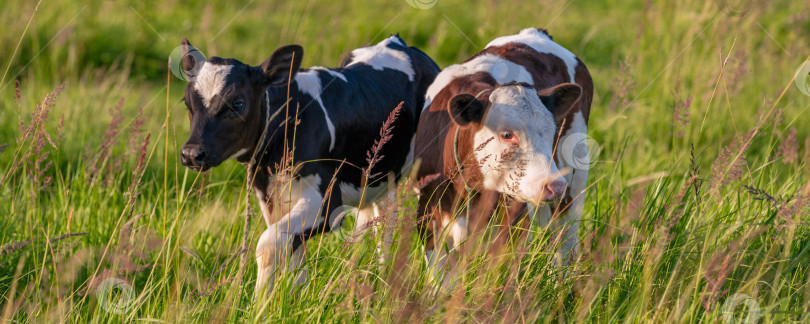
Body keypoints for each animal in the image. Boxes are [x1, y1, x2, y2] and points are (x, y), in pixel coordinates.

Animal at [177, 36, 438, 296]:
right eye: (187, 103)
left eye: (238, 104)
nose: (191, 154)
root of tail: (398, 41)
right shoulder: (272, 200)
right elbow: (294, 254)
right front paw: (292, 297)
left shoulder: (327, 202)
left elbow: (268, 245)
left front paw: (258, 302)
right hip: (375, 180)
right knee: (381, 222)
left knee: (427, 226)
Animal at [414, 28, 592, 276]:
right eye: (507, 134)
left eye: (553, 129)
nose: (554, 186)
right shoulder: (428, 211)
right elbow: (440, 274)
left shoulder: (515, 217)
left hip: (574, 172)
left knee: (566, 237)